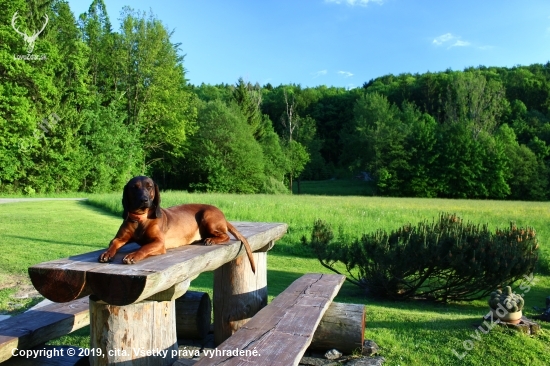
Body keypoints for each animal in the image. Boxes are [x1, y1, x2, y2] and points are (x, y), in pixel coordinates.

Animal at [99, 176, 256, 274]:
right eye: (134, 187)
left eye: (150, 187)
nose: (144, 200)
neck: (140, 218)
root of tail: (222, 214)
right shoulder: (119, 238)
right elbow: (114, 243)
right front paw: (107, 253)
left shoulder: (159, 243)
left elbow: (144, 248)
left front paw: (133, 255)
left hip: (207, 216)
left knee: (225, 236)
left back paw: (211, 240)